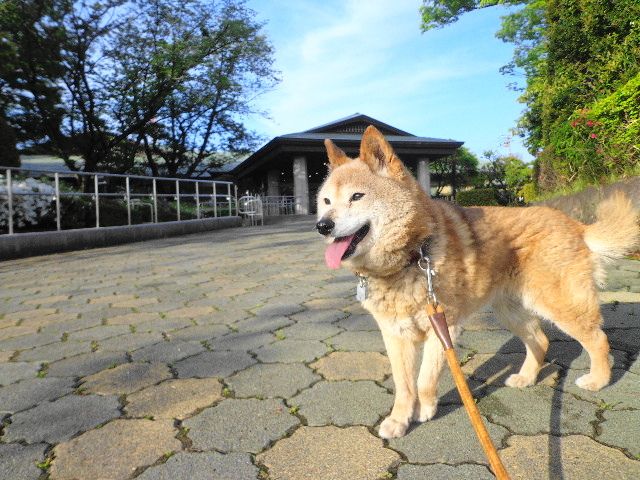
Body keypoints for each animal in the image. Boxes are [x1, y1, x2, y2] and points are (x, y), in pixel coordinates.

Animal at [316, 126, 640, 438]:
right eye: (326, 201)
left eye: (357, 196)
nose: (322, 226)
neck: (412, 256)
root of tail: (575, 225)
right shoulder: (396, 335)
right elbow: (404, 387)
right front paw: (398, 421)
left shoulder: (443, 327)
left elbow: (424, 381)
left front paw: (426, 409)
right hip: (511, 311)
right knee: (541, 340)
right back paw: (526, 377)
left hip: (560, 304)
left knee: (597, 339)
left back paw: (598, 380)